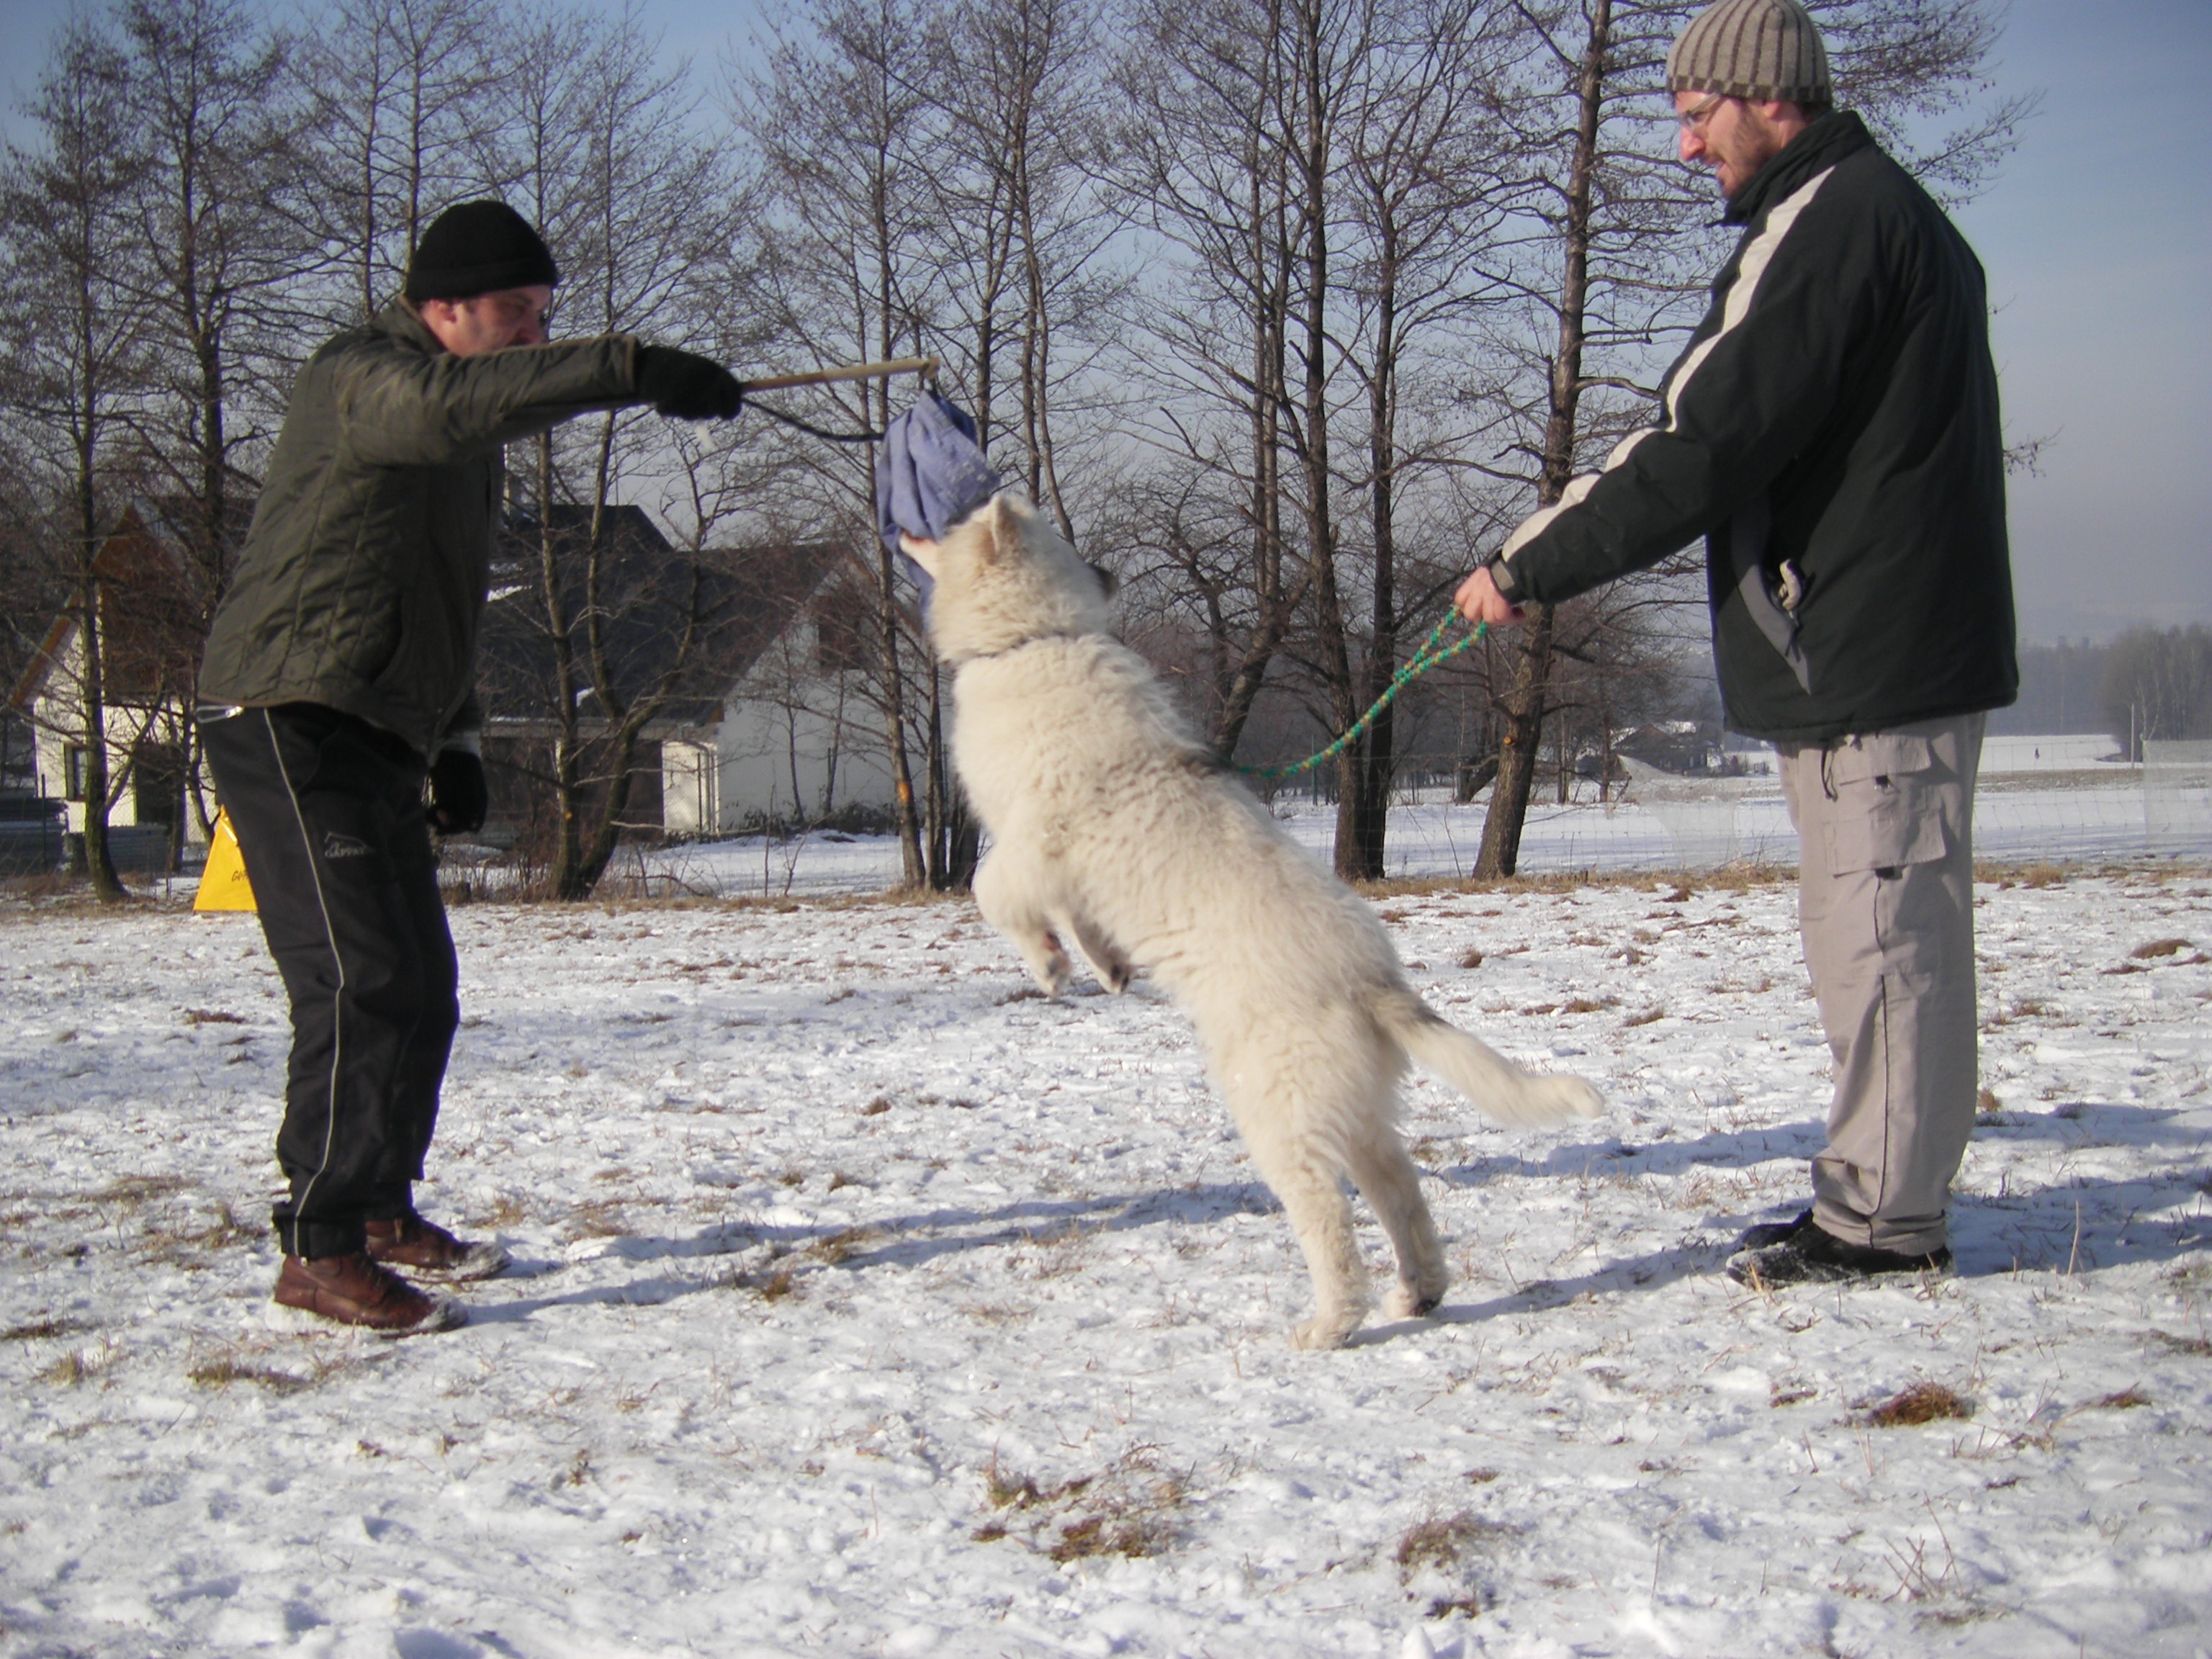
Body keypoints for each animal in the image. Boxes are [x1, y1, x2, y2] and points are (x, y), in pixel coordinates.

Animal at [898, 498, 1610, 1354]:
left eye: (958, 522)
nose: (909, 522)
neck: (1034, 638)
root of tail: (1371, 984)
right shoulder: (1061, 868)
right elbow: (1072, 917)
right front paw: (1105, 968)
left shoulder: (1034, 842)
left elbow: (989, 892)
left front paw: (1049, 966)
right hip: (1354, 1108)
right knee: (1400, 1190)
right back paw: (1419, 1294)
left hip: (1278, 1111)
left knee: (1330, 1216)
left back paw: (1329, 1326)